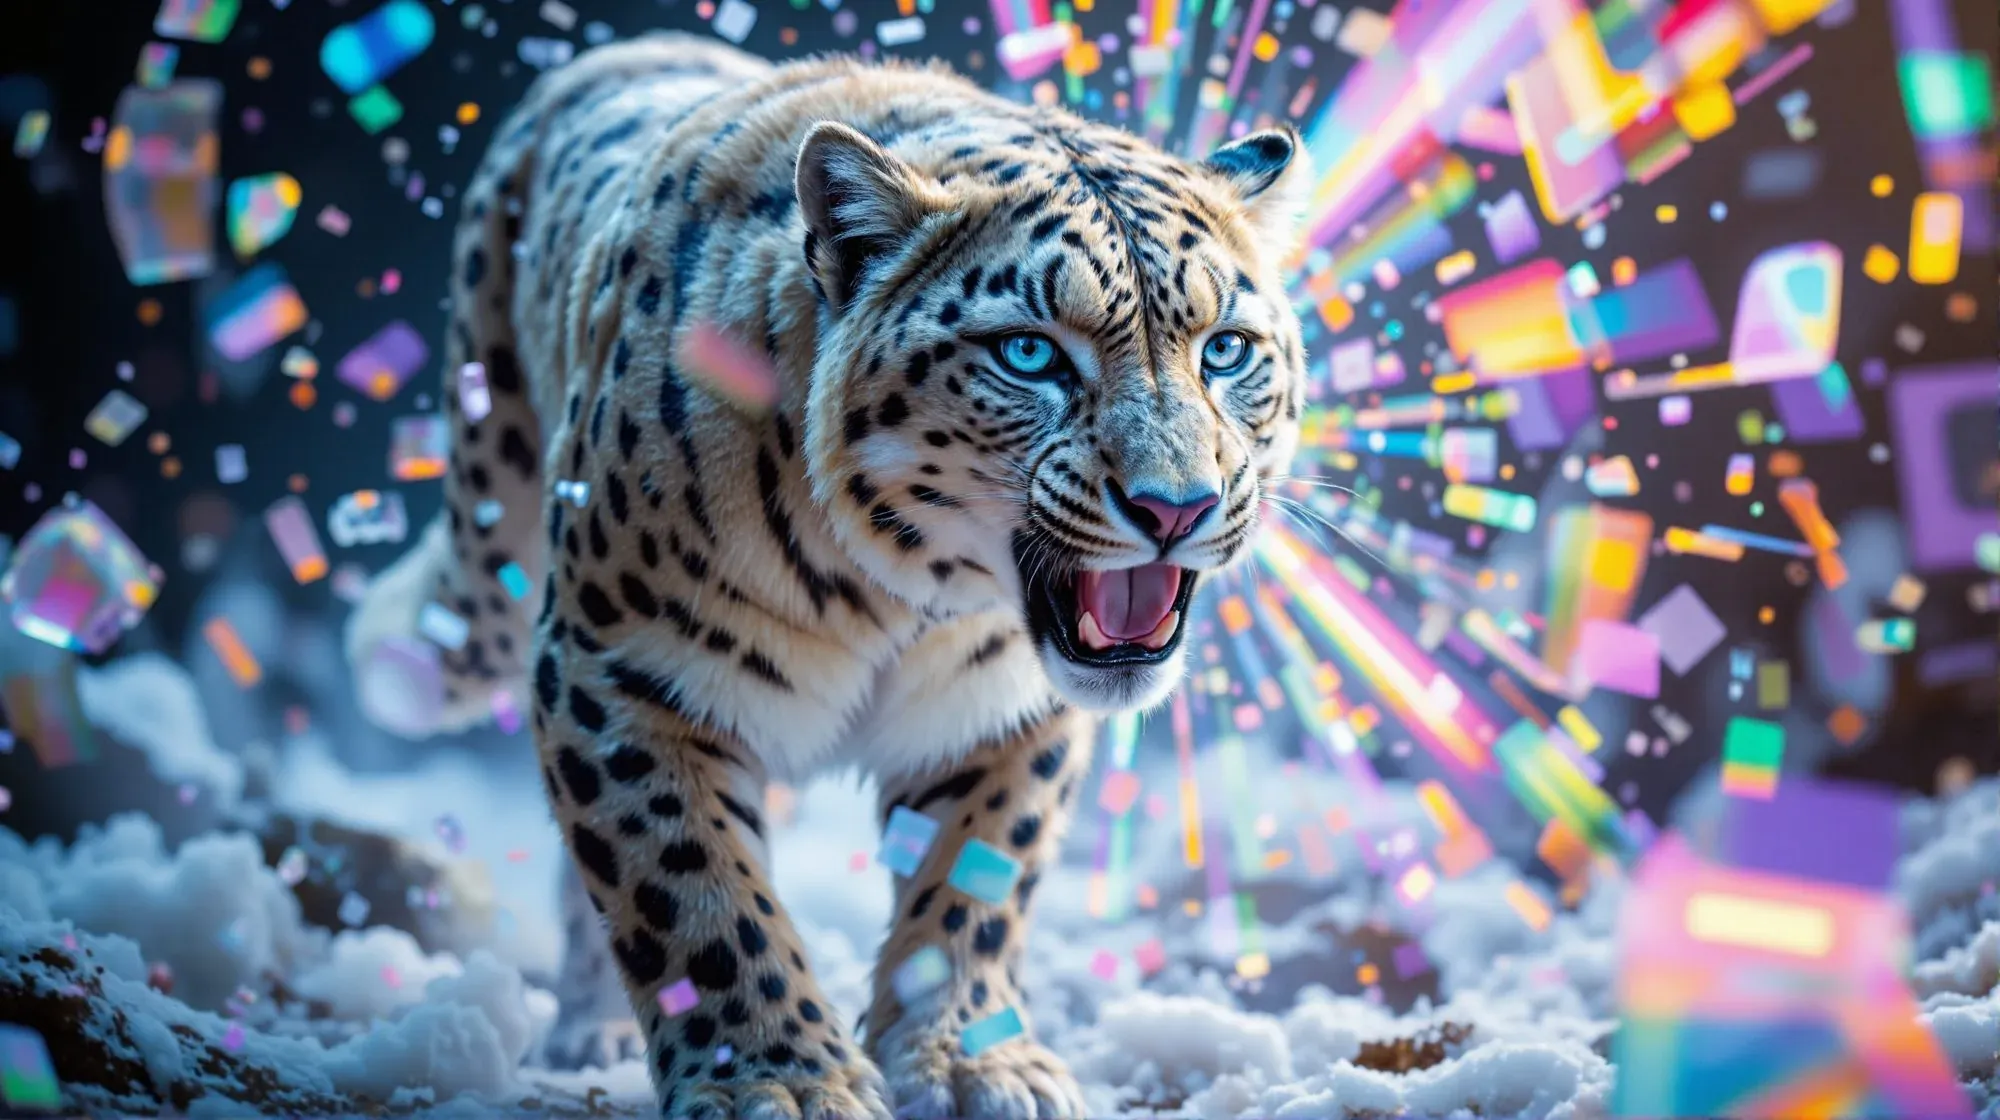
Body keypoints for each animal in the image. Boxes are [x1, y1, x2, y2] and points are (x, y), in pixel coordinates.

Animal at [345, 32, 1308, 1120]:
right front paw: (778, 1079)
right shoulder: (620, 670)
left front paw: (969, 1062)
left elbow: (977, 881)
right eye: (1028, 353)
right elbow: (692, 888)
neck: (893, 598)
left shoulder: (1000, 709)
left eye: (1224, 350)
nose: (1175, 506)